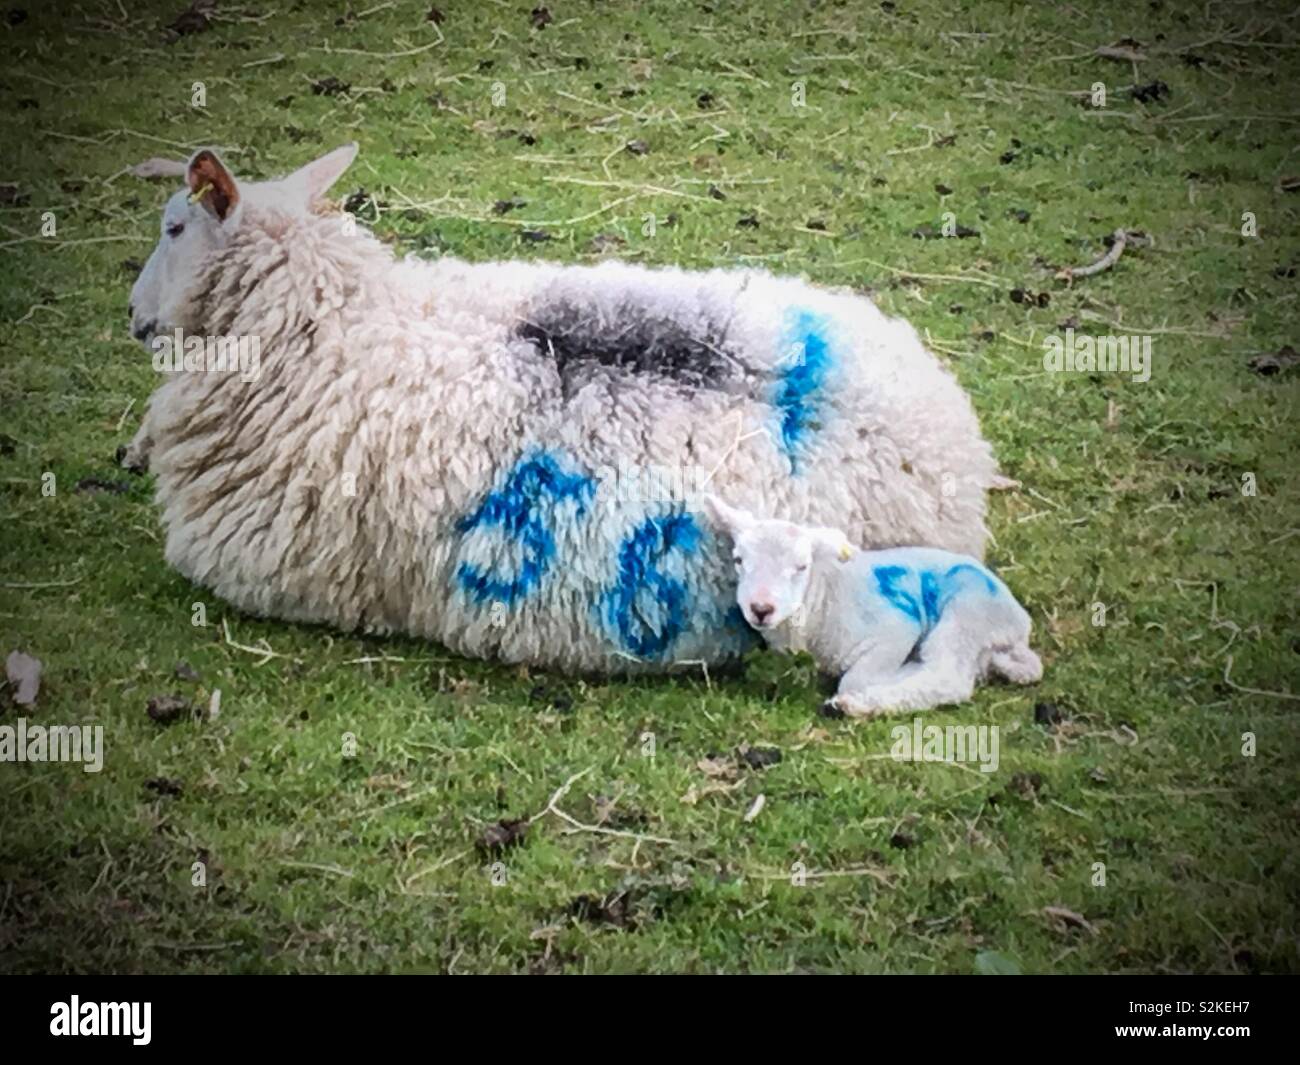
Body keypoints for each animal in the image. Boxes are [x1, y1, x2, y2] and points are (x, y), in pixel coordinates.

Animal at [702, 494, 1042, 715]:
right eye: (738, 560)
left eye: (801, 566)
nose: (761, 608)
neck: (823, 599)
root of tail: (1018, 626)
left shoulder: (896, 629)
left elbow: (854, 679)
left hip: (967, 612)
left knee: (947, 677)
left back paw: (859, 703)